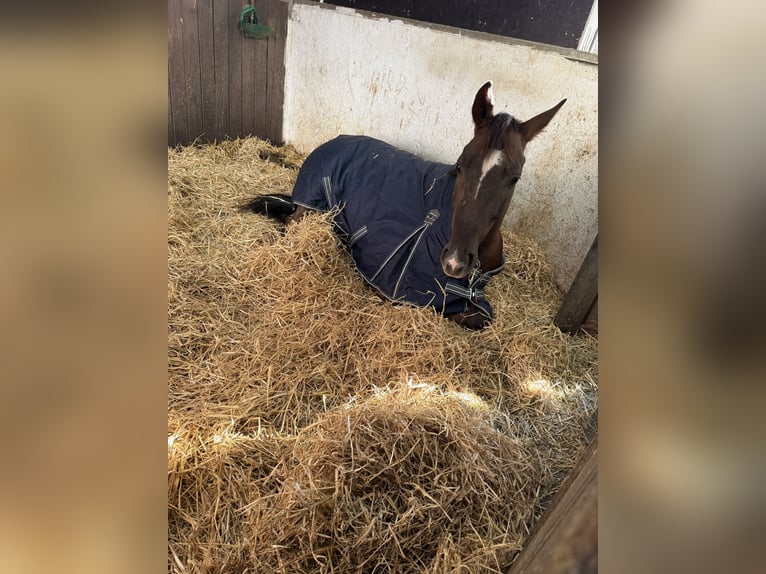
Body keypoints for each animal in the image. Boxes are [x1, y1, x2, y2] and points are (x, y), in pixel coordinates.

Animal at [243, 82, 565, 330]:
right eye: (460, 164)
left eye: (514, 177)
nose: (454, 262)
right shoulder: (404, 290)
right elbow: (471, 316)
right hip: (311, 212)